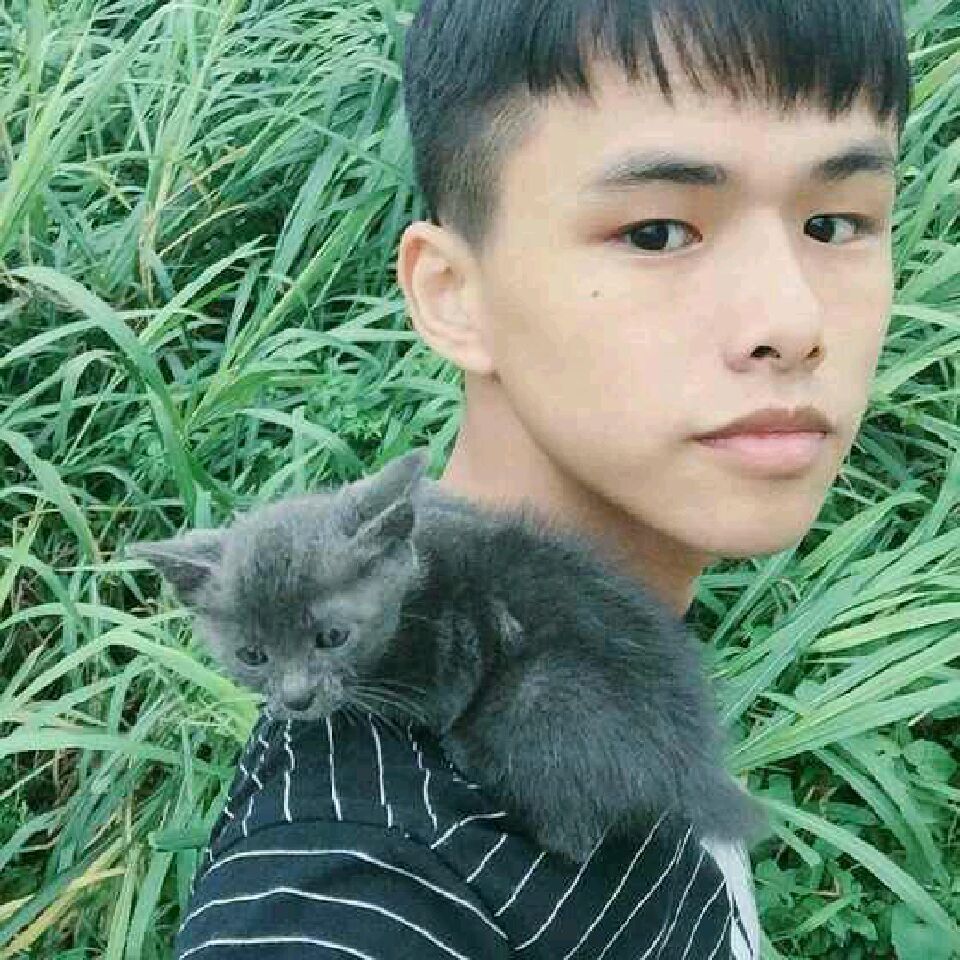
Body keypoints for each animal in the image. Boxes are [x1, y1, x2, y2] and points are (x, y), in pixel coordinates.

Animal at [127, 447, 769, 864]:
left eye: (332, 637)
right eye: (252, 655)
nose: (297, 697)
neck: (413, 589)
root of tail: (689, 764)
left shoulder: (449, 661)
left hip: (538, 693)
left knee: (575, 837)